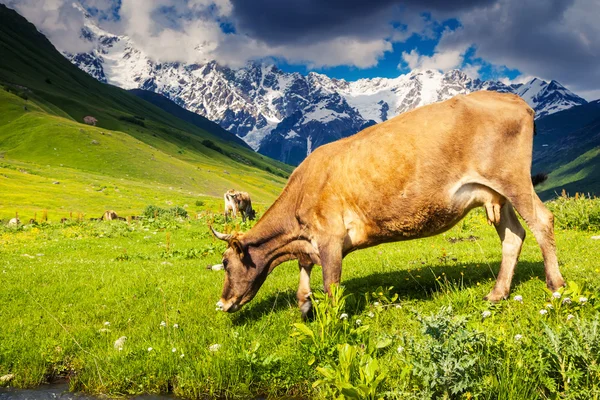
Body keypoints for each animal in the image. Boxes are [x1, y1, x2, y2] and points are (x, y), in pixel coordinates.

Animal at [212, 91, 568, 318]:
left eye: (226, 264)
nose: (222, 304)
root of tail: (516, 100)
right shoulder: (309, 243)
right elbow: (304, 280)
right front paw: (304, 311)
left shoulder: (329, 238)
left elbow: (331, 287)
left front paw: (331, 325)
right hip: (495, 194)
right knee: (513, 236)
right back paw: (497, 293)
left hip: (513, 180)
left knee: (542, 221)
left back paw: (557, 285)